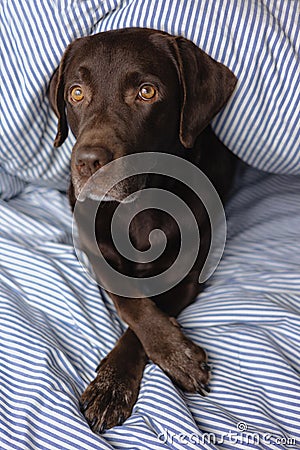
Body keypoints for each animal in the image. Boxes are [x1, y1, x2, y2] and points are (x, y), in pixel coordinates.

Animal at [48, 27, 237, 432]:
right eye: (76, 92)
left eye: (146, 92)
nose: (88, 162)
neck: (137, 206)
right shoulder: (92, 249)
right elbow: (131, 302)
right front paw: (114, 382)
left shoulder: (189, 274)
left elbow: (144, 317)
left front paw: (167, 357)